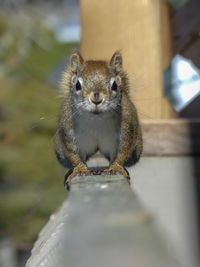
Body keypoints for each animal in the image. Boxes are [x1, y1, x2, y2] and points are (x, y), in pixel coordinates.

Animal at [54, 51, 142, 191]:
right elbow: (73, 154)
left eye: (115, 85)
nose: (96, 98)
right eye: (77, 85)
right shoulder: (67, 129)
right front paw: (79, 169)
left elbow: (123, 151)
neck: (96, 118)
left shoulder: (127, 127)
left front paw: (117, 166)